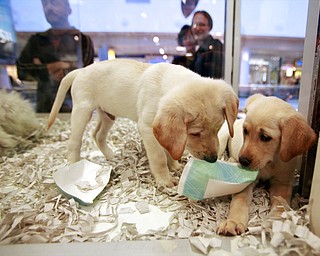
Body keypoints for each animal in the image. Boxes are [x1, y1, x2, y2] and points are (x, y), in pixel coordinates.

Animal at [47, 59, 238, 188]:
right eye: (194, 134)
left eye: (218, 129)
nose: (212, 159)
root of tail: (80, 70)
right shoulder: (147, 128)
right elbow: (159, 156)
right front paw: (165, 180)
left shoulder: (162, 131)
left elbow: (169, 148)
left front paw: (175, 166)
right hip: (82, 111)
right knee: (74, 142)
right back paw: (74, 165)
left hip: (108, 115)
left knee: (97, 134)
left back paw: (111, 156)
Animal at [218, 93, 318, 236]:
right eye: (245, 131)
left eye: (265, 137)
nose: (242, 161)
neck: (270, 163)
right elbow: (240, 200)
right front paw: (233, 221)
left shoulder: (282, 182)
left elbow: (281, 203)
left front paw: (276, 221)